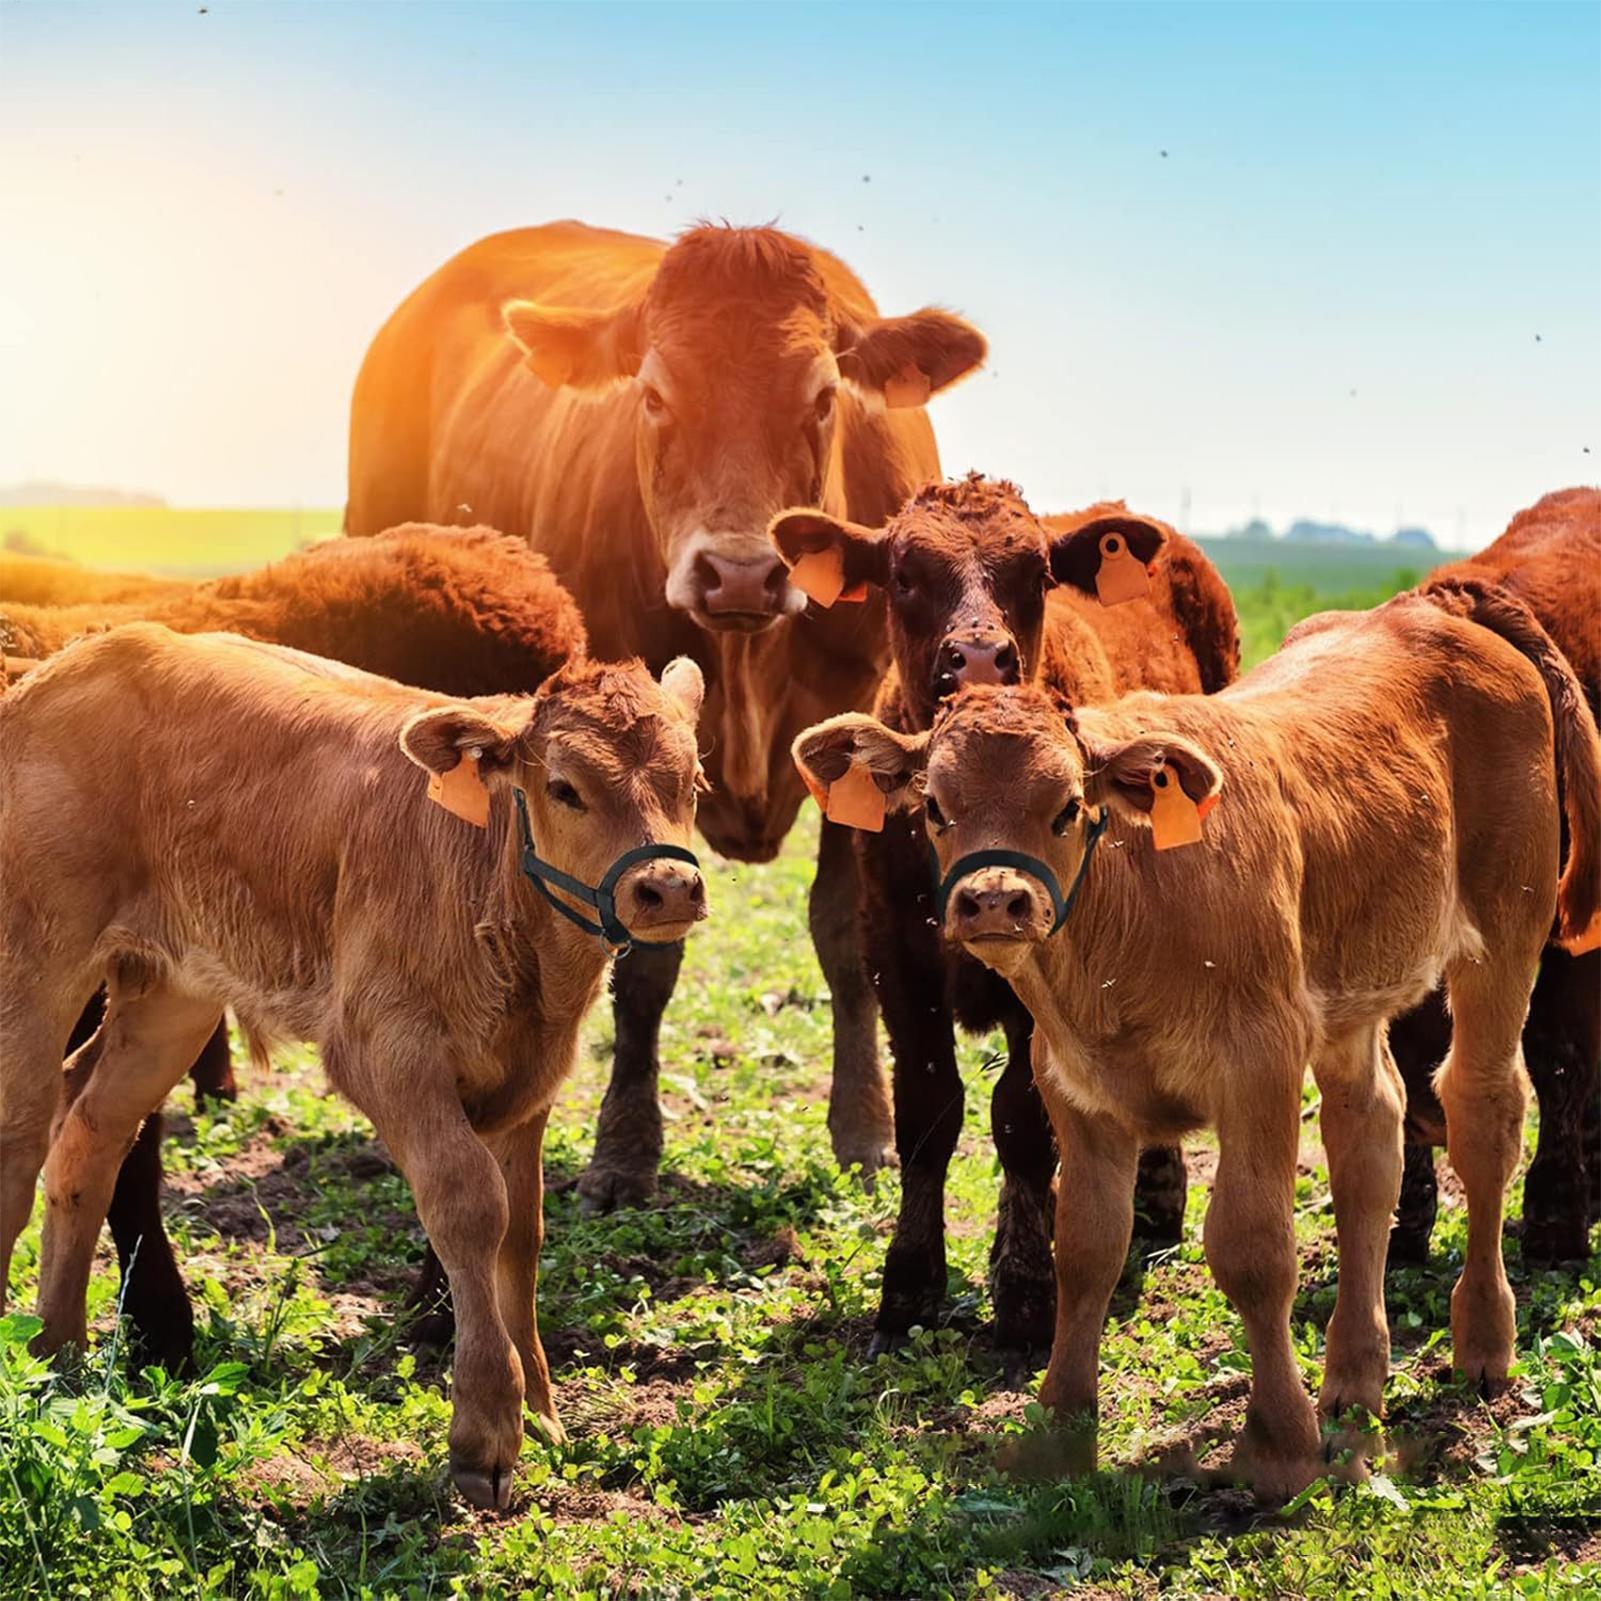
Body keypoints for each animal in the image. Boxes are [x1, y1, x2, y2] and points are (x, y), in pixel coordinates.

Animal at [1, 624, 709, 1510]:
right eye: (564, 787)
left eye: (692, 780)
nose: (669, 886)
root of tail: (78, 656)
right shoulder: (385, 1048)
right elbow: (470, 1206)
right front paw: (485, 1431)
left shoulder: (529, 1078)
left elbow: (523, 1230)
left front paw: (544, 1413)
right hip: (34, 958)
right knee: (20, 1135)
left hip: (174, 991)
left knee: (91, 1134)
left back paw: (56, 1357)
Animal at [347, 220, 987, 1209]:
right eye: (653, 394)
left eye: (821, 398)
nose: (739, 572)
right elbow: (643, 960)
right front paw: (623, 1149)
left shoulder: (854, 732)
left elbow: (843, 934)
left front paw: (864, 1127)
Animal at [769, 476, 1239, 1359]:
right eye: (903, 574)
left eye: (1036, 574)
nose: (980, 658)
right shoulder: (894, 953)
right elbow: (927, 1110)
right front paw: (910, 1282)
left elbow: (1022, 1116)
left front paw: (1025, 1287)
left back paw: (1155, 1193)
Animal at [793, 579, 1601, 1499]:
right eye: (933, 805)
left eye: (1067, 806)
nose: (992, 899)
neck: (1127, 920)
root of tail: (1425, 605)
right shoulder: (1074, 1084)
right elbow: (1086, 1247)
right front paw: (1059, 1431)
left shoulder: (1258, 1064)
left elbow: (1252, 1248)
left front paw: (1278, 1444)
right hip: (1349, 995)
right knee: (1370, 1141)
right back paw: (1353, 1385)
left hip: (1505, 932)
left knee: (1482, 1111)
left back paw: (1482, 1343)